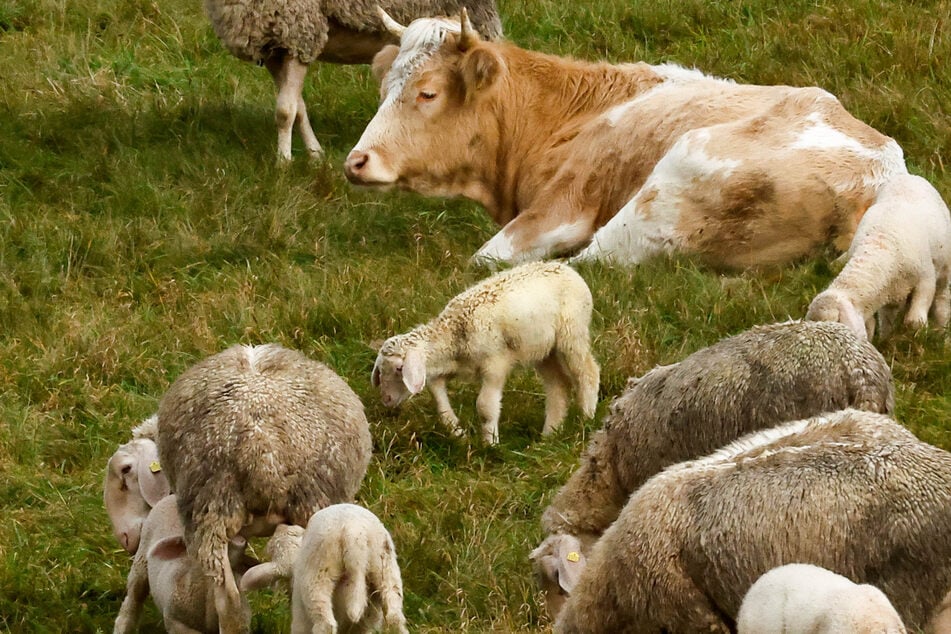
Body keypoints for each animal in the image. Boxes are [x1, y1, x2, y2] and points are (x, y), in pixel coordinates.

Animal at [343, 10, 931, 269]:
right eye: (385, 86)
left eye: (427, 93)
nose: (356, 161)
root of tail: (883, 173)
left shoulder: (563, 207)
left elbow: (484, 259)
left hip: (668, 184)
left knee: (588, 265)